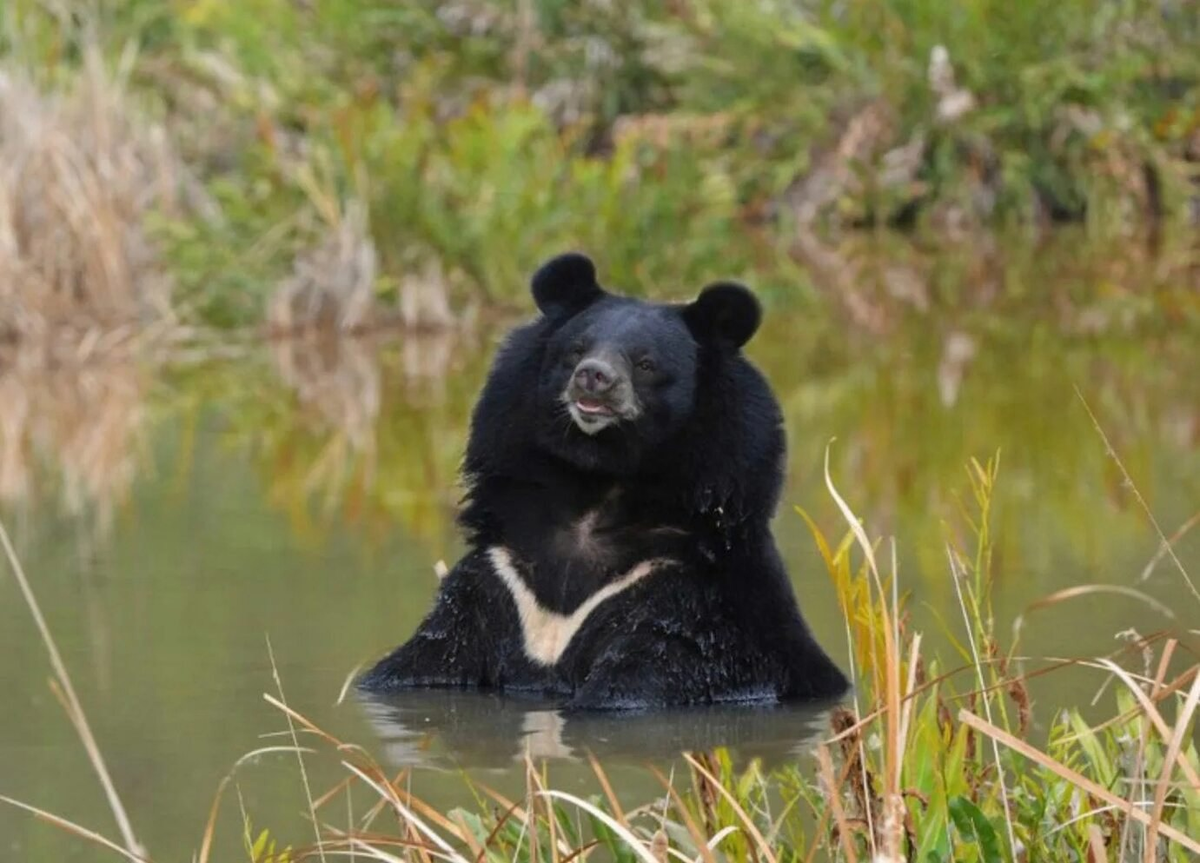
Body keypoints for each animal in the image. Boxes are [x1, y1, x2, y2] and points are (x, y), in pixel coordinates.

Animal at [360, 252, 849, 710]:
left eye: (646, 363)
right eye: (576, 349)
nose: (593, 377)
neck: (599, 478)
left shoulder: (688, 597)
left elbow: (644, 676)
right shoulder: (502, 575)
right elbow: (427, 658)